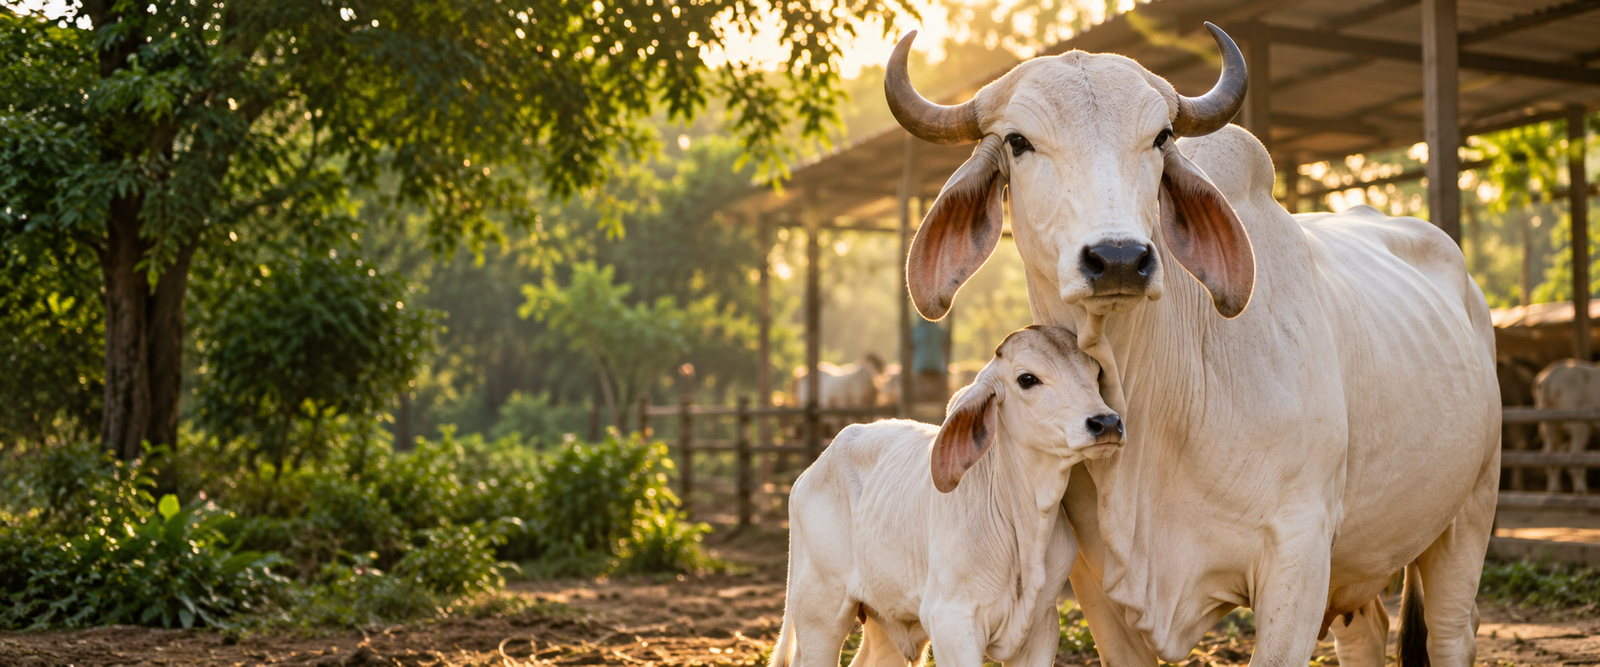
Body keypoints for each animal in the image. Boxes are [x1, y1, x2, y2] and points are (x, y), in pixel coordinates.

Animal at [770, 327, 1124, 667]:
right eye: (1027, 379)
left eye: (1095, 373)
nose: (1106, 423)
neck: (1024, 525)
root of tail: (808, 473)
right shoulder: (952, 622)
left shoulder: (1041, 626)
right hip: (819, 612)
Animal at [883, 24, 1499, 667]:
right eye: (1018, 141)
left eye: (1159, 137)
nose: (1119, 258)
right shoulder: (1095, 578)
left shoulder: (1299, 551)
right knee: (1366, 632)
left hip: (1471, 508)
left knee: (1453, 632)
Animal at [1534, 359, 1600, 494]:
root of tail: (1549, 378)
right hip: (1578, 426)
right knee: (1573, 456)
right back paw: (1580, 490)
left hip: (1549, 425)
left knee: (1551, 454)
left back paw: (1554, 489)